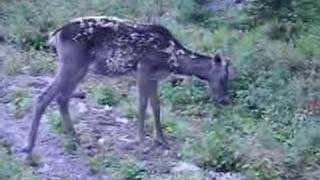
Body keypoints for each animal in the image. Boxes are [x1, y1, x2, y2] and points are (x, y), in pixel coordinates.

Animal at [22, 16, 230, 158]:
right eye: (223, 77)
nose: (224, 100)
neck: (174, 59)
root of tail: (56, 34)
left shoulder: (154, 77)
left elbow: (156, 106)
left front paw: (161, 140)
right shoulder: (143, 69)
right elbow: (142, 105)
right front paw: (142, 141)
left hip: (79, 67)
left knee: (61, 97)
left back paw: (74, 138)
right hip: (72, 63)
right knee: (44, 96)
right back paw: (29, 146)